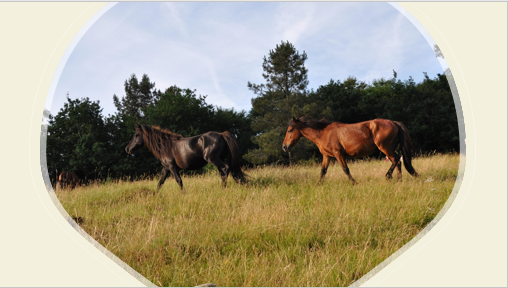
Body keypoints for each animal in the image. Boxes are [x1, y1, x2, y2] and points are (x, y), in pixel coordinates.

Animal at [280, 116, 418, 184]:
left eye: (290, 130)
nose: (285, 147)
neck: (323, 133)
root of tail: (393, 122)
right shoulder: (327, 156)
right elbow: (323, 171)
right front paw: (319, 184)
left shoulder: (338, 154)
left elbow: (345, 169)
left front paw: (354, 183)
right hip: (387, 149)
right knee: (398, 161)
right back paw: (399, 180)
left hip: (385, 147)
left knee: (396, 159)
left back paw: (388, 177)